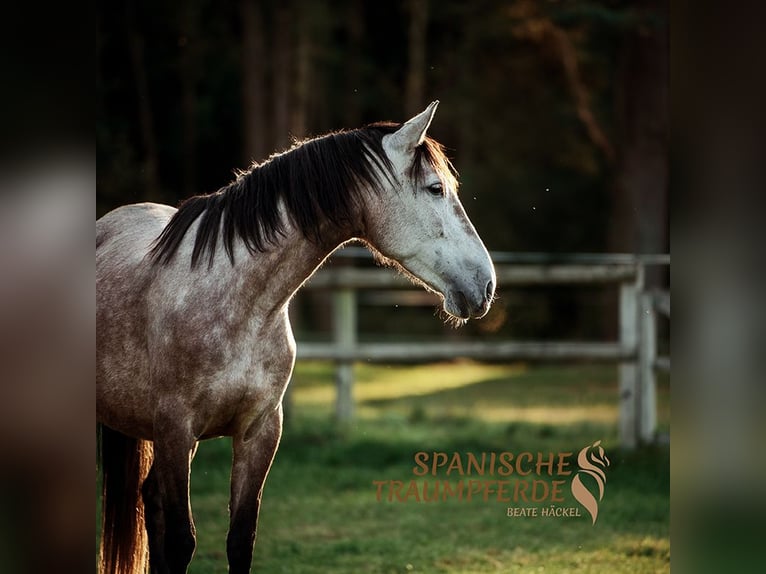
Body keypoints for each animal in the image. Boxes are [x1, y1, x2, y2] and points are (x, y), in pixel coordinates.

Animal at [97, 101, 498, 572]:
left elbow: (241, 538)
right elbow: (182, 540)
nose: (486, 285)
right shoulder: (176, 429)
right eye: (436, 189)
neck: (237, 300)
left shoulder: (260, 432)